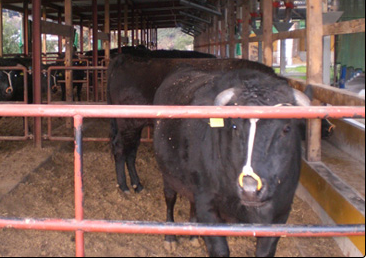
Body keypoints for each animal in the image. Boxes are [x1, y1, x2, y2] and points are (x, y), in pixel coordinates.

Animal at [153, 66, 310, 256]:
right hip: (168, 175)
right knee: (170, 198)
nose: (250, 189)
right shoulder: (207, 207)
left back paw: (193, 236)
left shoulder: (281, 214)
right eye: (234, 126)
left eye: (286, 128)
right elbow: (220, 250)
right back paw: (170, 237)